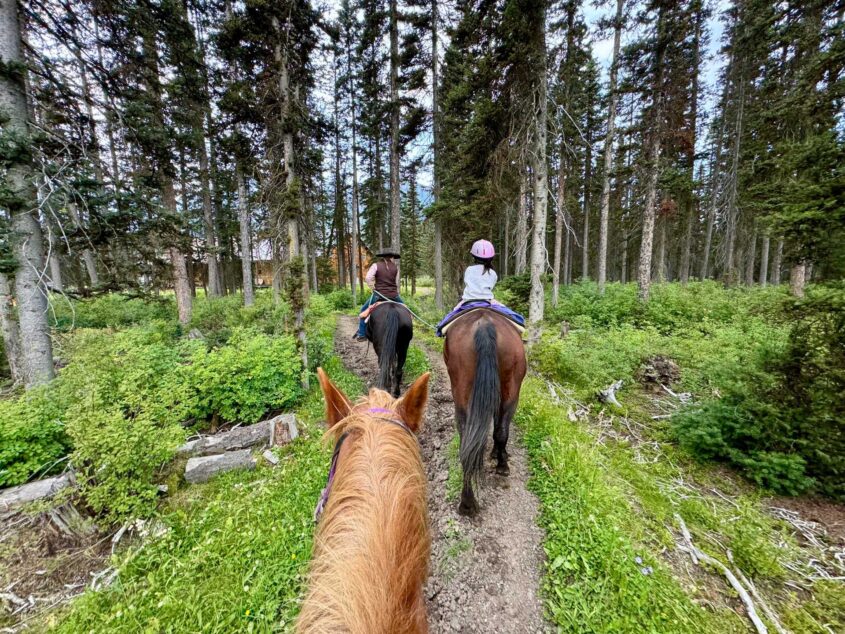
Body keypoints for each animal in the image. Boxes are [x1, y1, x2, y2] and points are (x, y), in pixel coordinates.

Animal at [446, 308, 524, 516]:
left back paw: (467, 502)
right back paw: (501, 468)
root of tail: (484, 324)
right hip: (511, 391)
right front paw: (498, 455)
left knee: (467, 442)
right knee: (500, 430)